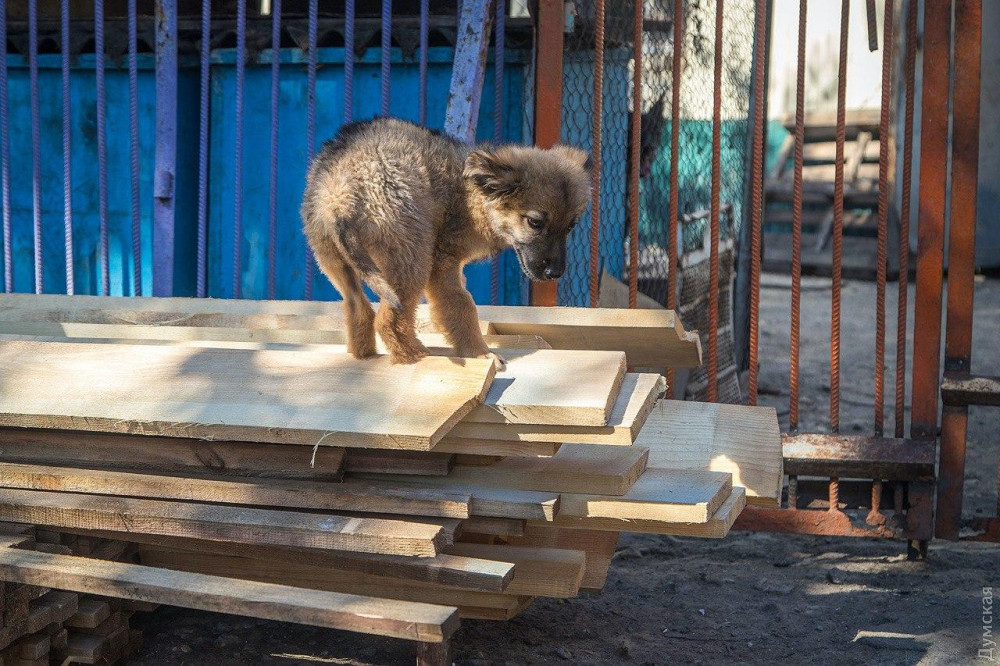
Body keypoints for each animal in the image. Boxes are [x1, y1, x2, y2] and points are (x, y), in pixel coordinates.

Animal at [301, 118, 591, 366]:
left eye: (570, 226)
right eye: (535, 222)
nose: (555, 273)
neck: (471, 196)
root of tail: (340, 193)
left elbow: (451, 308)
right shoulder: (442, 264)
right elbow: (462, 306)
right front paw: (480, 354)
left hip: (336, 264)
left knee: (358, 310)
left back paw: (367, 356)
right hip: (413, 261)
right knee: (387, 320)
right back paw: (415, 357)